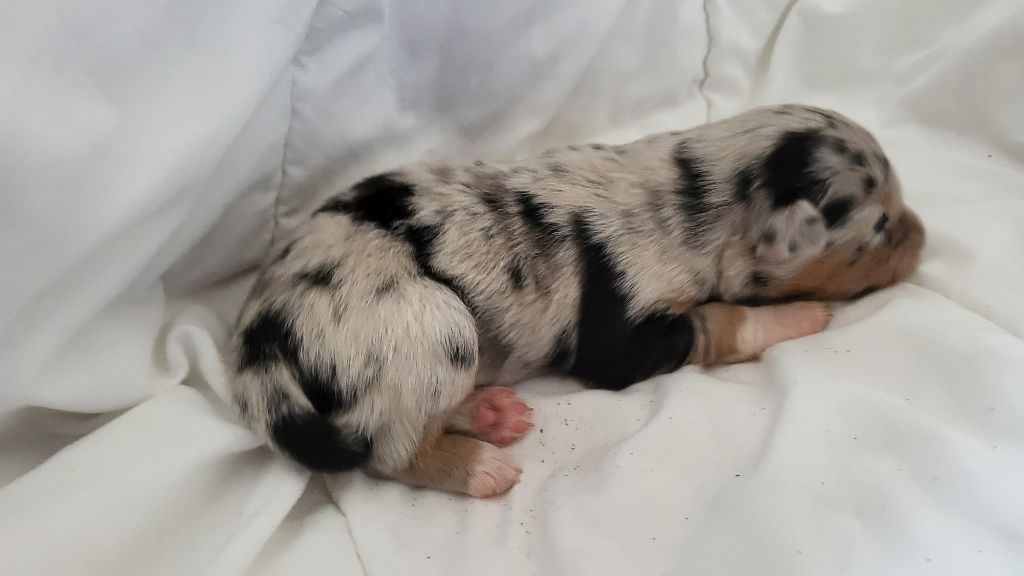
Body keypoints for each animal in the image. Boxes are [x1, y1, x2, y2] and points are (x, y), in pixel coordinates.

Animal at [228, 104, 925, 497]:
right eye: (881, 227)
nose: (925, 240)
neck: (696, 196)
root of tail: (260, 341)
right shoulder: (624, 346)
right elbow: (723, 319)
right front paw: (804, 315)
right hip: (430, 326)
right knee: (386, 451)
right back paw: (481, 465)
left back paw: (492, 413)